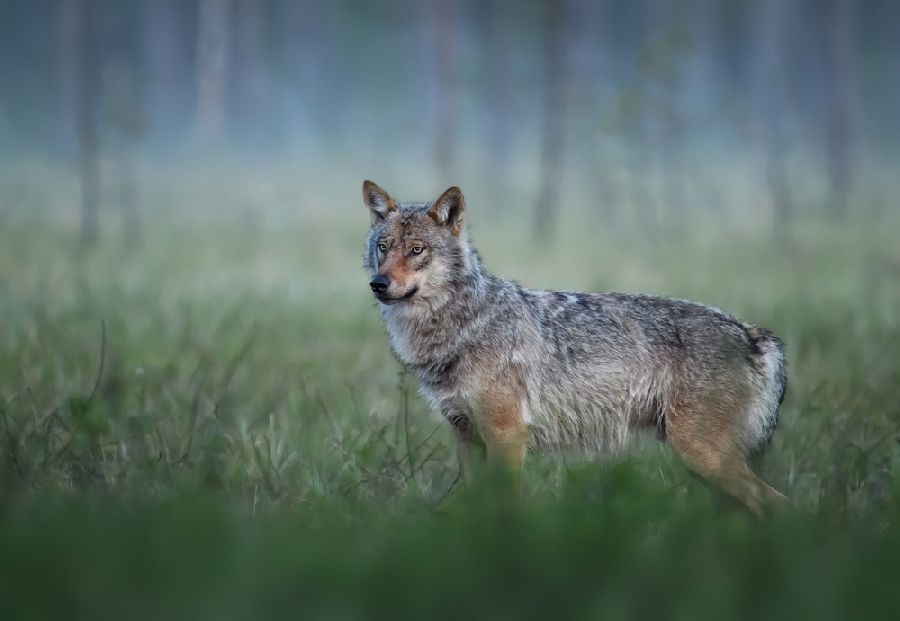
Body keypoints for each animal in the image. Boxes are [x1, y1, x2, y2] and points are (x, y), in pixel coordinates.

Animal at [361, 180, 788, 514]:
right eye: (384, 247)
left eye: (417, 250)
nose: (379, 284)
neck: (464, 324)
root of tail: (754, 334)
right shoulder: (466, 436)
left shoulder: (507, 434)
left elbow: (506, 507)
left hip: (702, 455)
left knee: (779, 503)